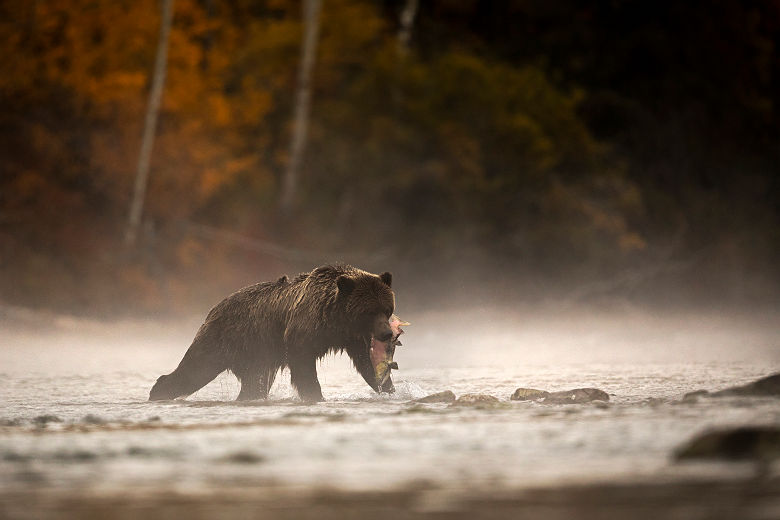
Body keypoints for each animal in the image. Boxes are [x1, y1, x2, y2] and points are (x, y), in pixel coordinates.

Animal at [149, 264, 396, 402]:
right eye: (369, 310)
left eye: (387, 308)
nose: (387, 334)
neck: (335, 319)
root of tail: (215, 306)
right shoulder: (302, 333)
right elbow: (304, 367)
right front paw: (315, 395)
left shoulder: (352, 337)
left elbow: (366, 364)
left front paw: (387, 387)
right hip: (223, 339)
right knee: (195, 367)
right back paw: (158, 391)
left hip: (256, 356)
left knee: (254, 383)